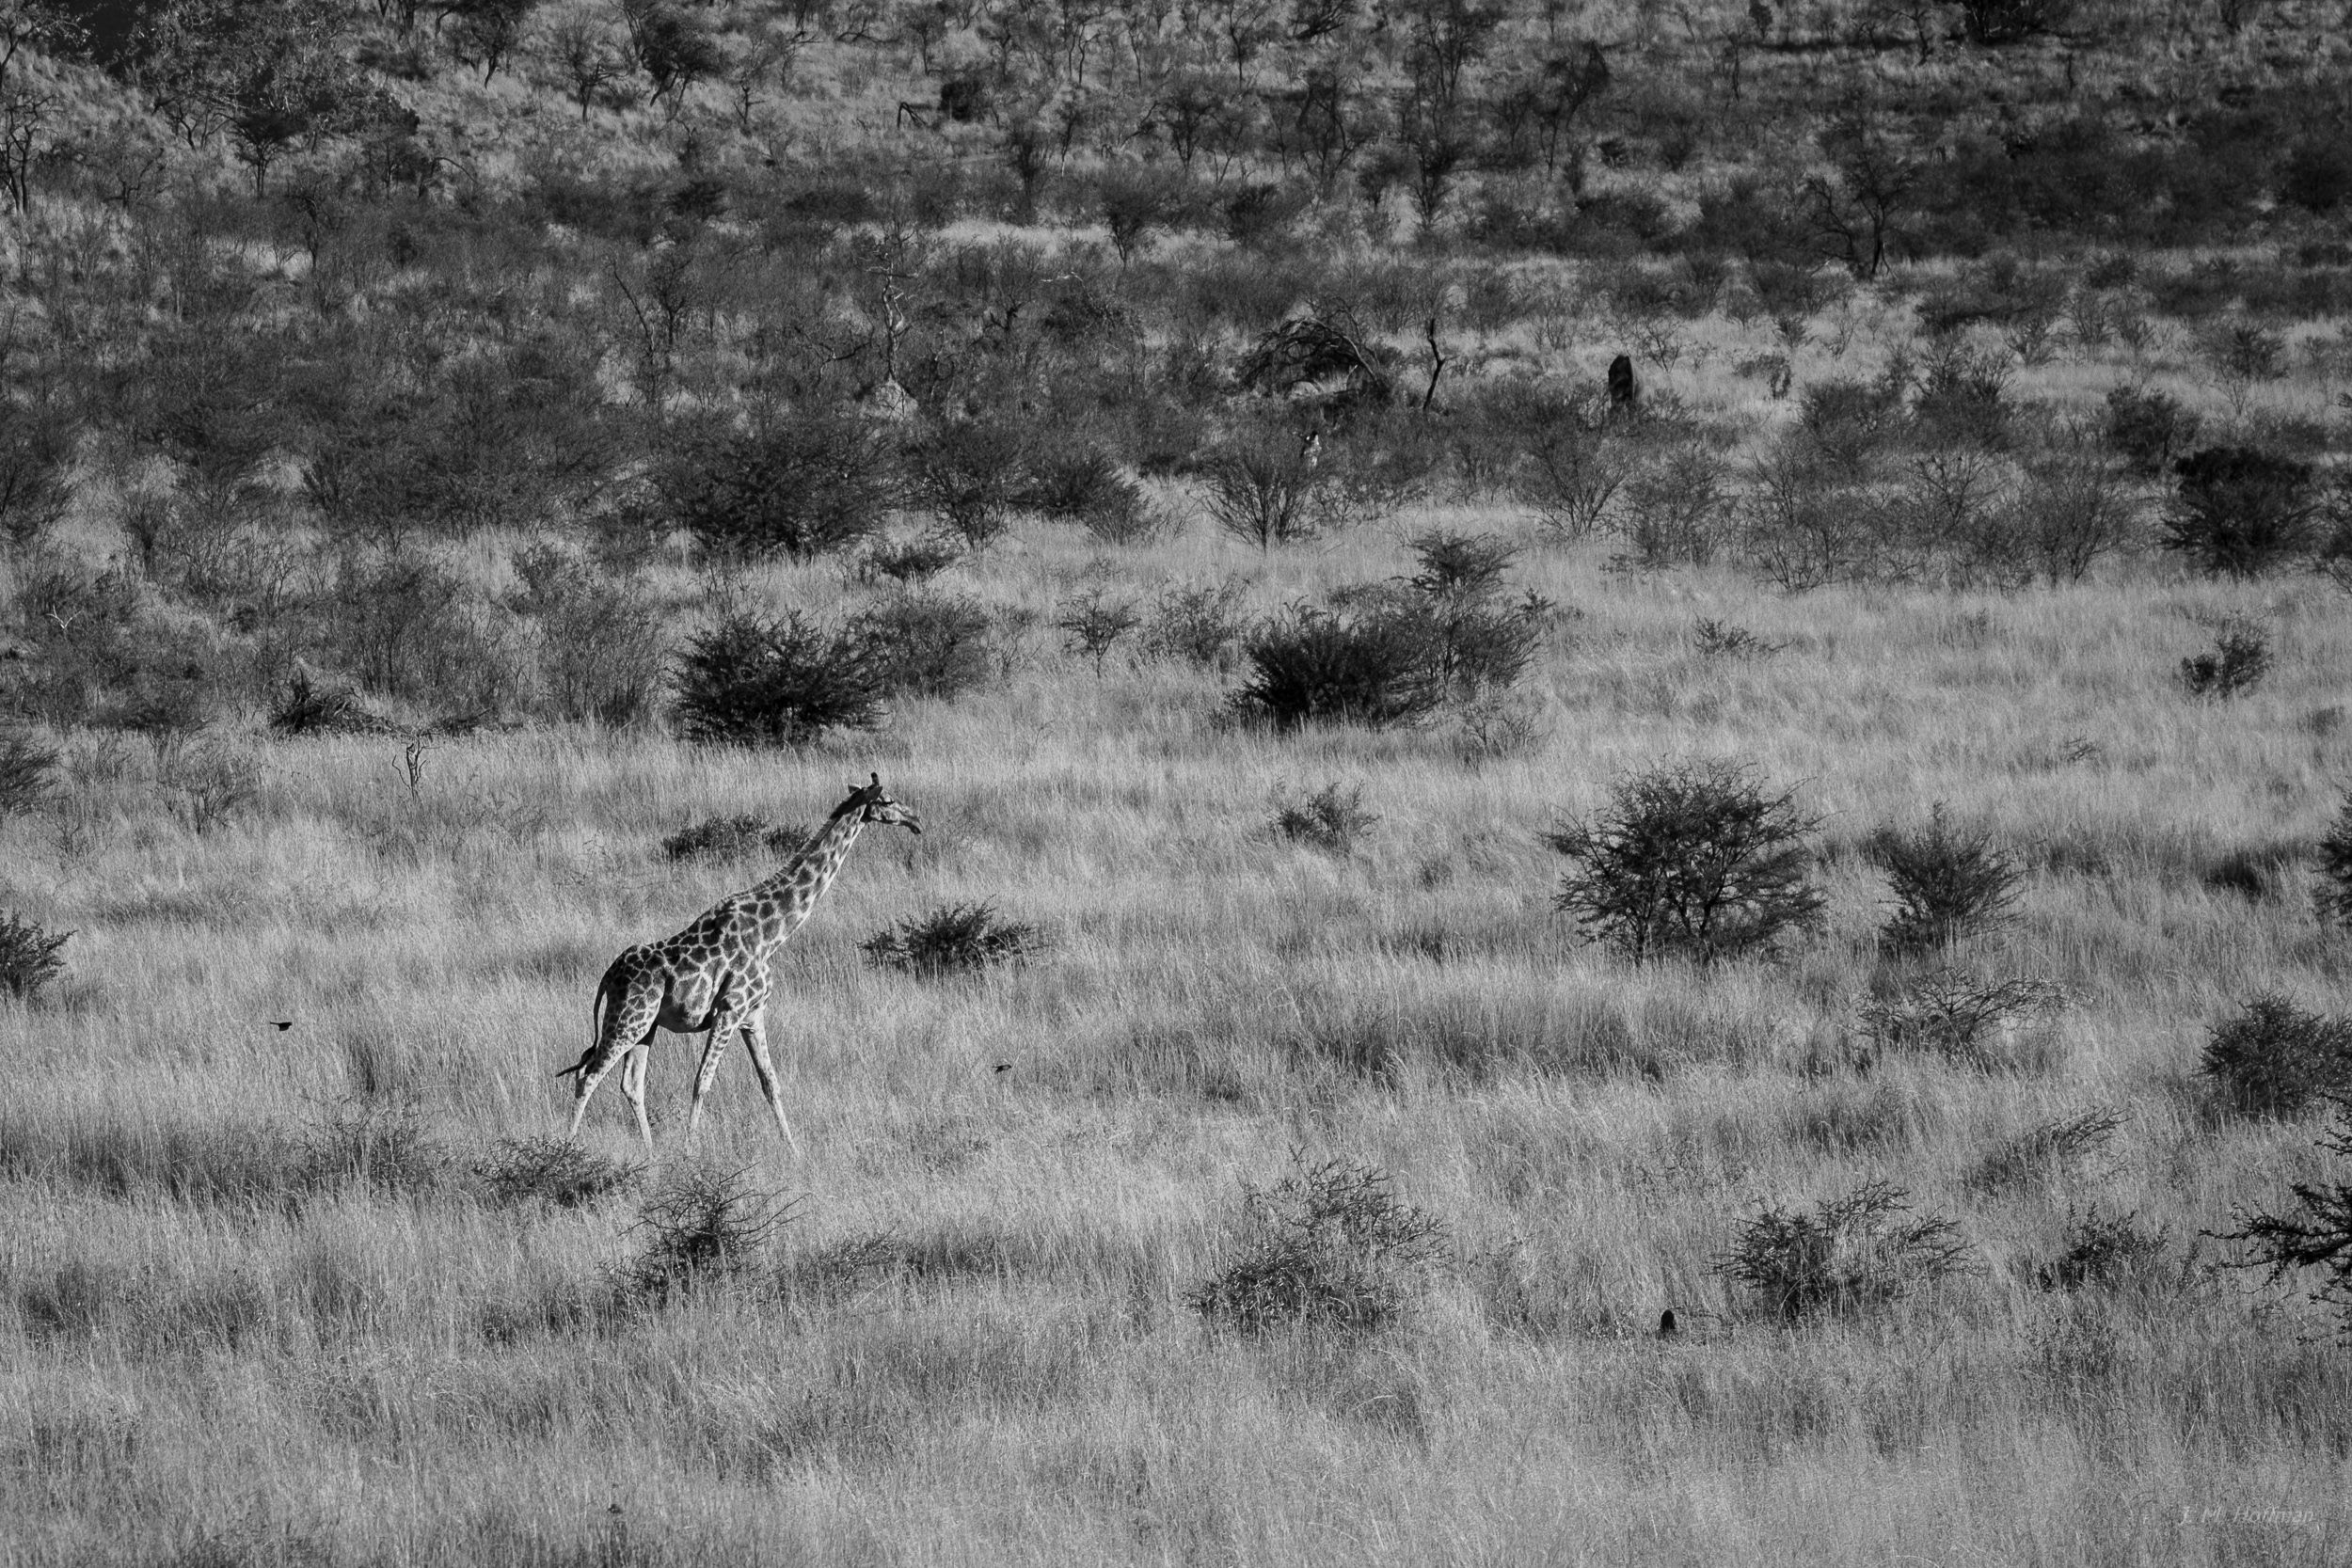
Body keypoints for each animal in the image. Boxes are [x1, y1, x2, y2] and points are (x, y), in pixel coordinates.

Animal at [557, 774, 921, 1153]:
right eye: (889, 800)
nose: (916, 820)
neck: (771, 935)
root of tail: (607, 976)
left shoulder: (753, 1014)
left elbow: (770, 1084)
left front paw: (794, 1152)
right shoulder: (730, 1009)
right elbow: (702, 1081)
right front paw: (690, 1150)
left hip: (646, 1025)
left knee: (630, 1083)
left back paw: (651, 1152)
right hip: (629, 1019)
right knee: (588, 1075)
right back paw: (566, 1147)